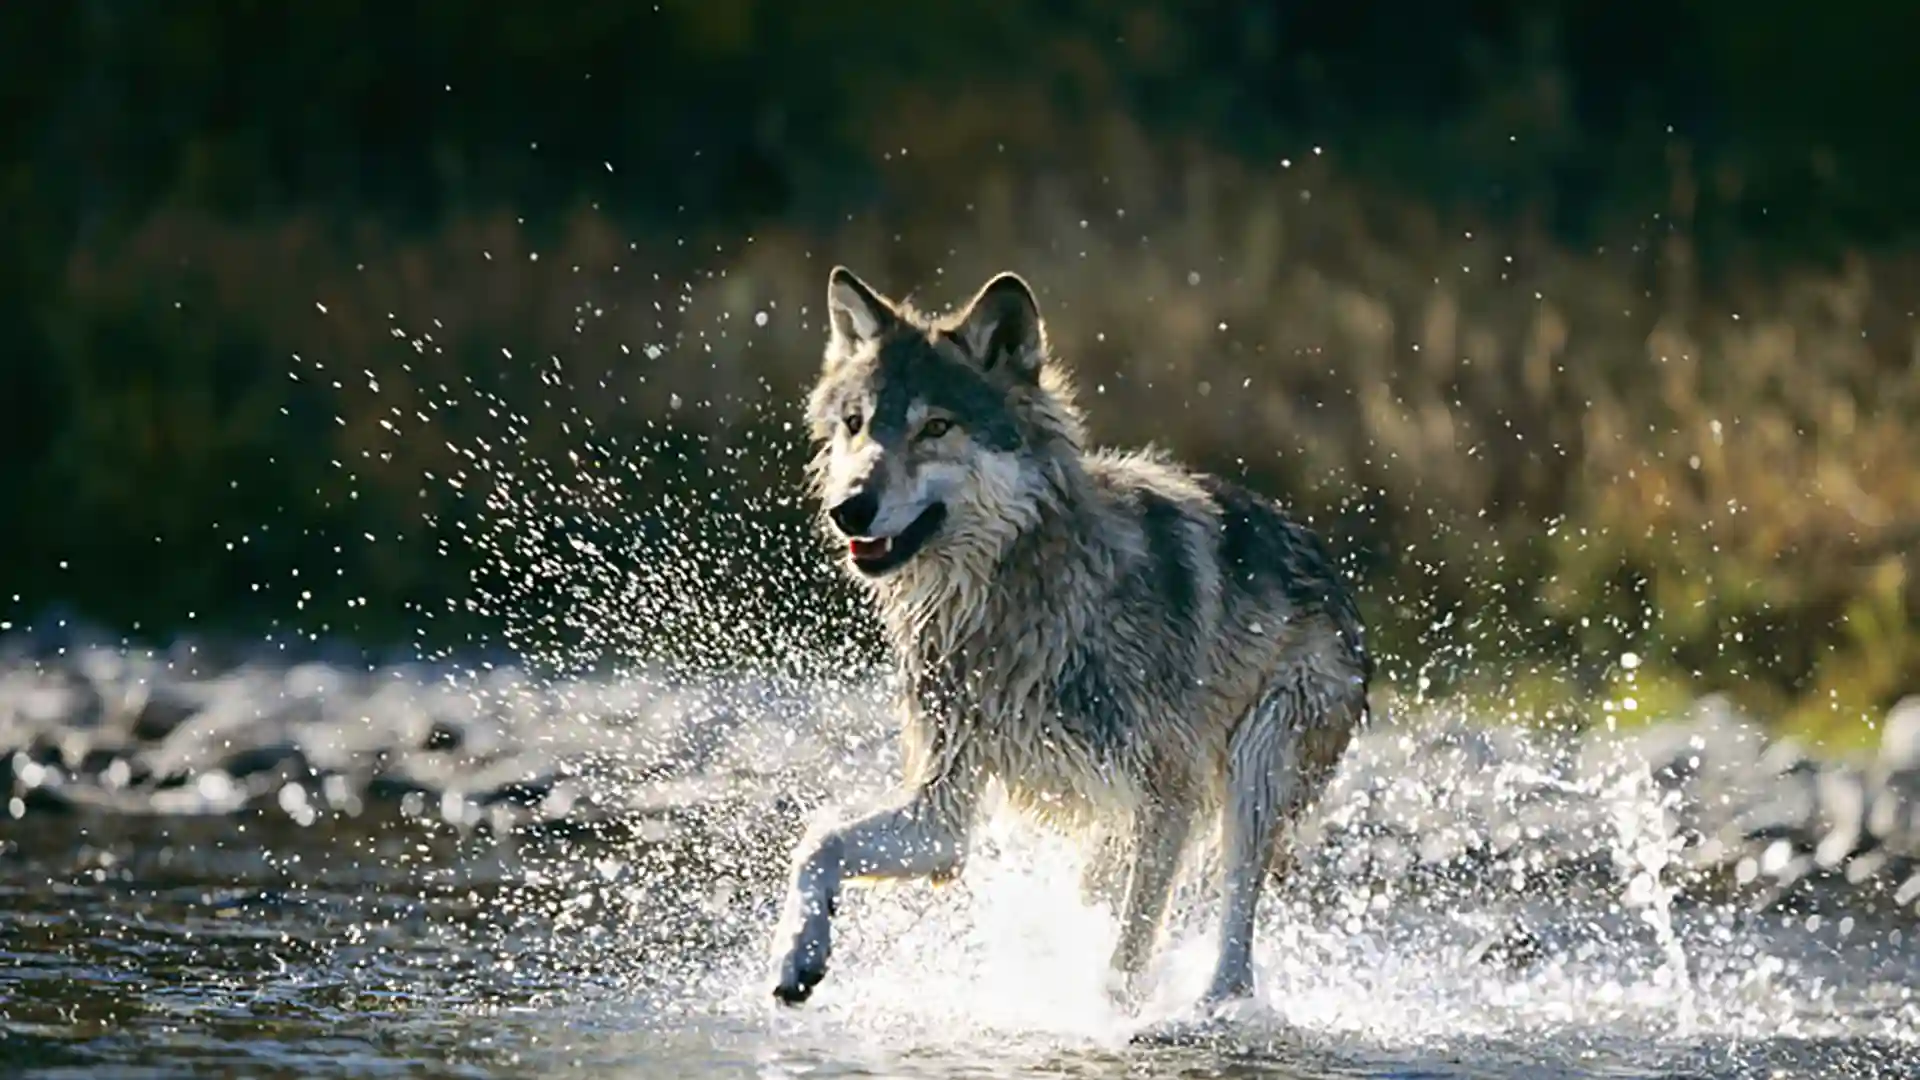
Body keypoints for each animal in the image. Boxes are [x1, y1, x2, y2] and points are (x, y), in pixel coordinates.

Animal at [771, 263, 1374, 1006]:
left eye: (935, 427)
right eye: (854, 426)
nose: (849, 507)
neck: (1014, 608)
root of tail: (1335, 575)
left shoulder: (1166, 798)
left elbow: (1126, 959)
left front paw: (1112, 1018)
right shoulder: (943, 815)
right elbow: (817, 840)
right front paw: (796, 954)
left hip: (1252, 772)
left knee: (1235, 954)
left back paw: (1210, 1009)